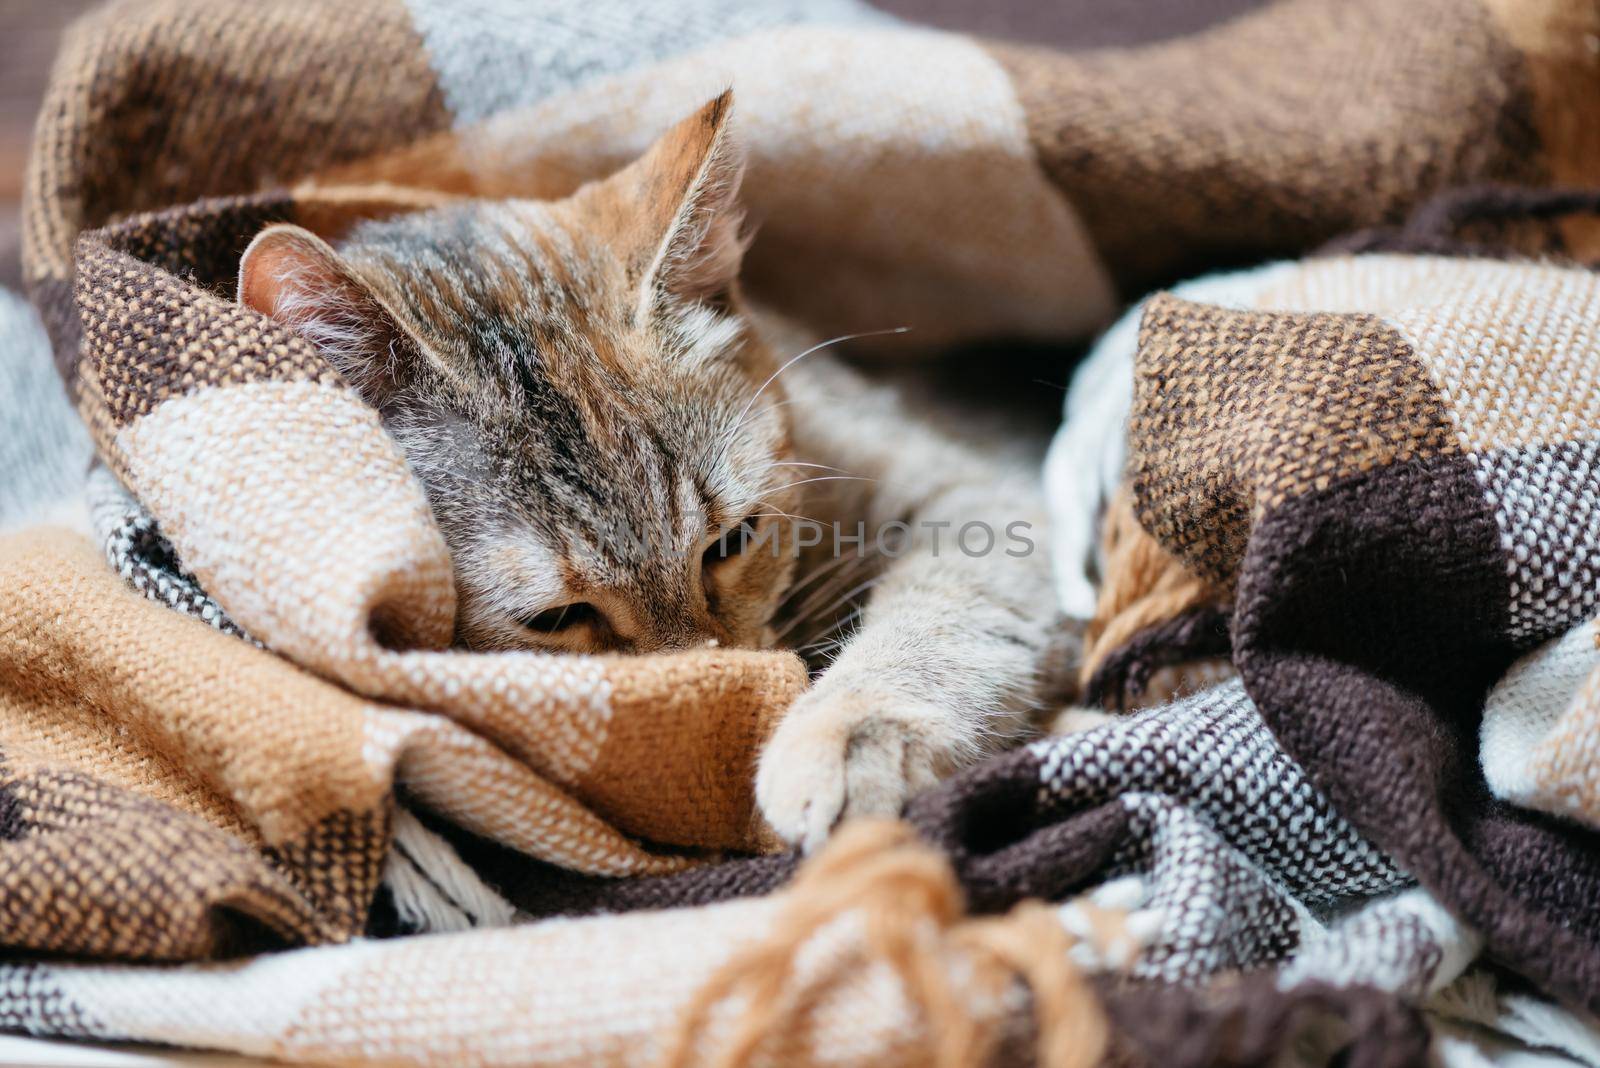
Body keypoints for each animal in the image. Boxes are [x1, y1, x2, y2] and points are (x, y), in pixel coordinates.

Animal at [236, 89, 1062, 850]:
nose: (718, 695)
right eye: (554, 619)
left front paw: (850, 733)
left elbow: (947, 614)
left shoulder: (968, 491)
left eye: (732, 543)